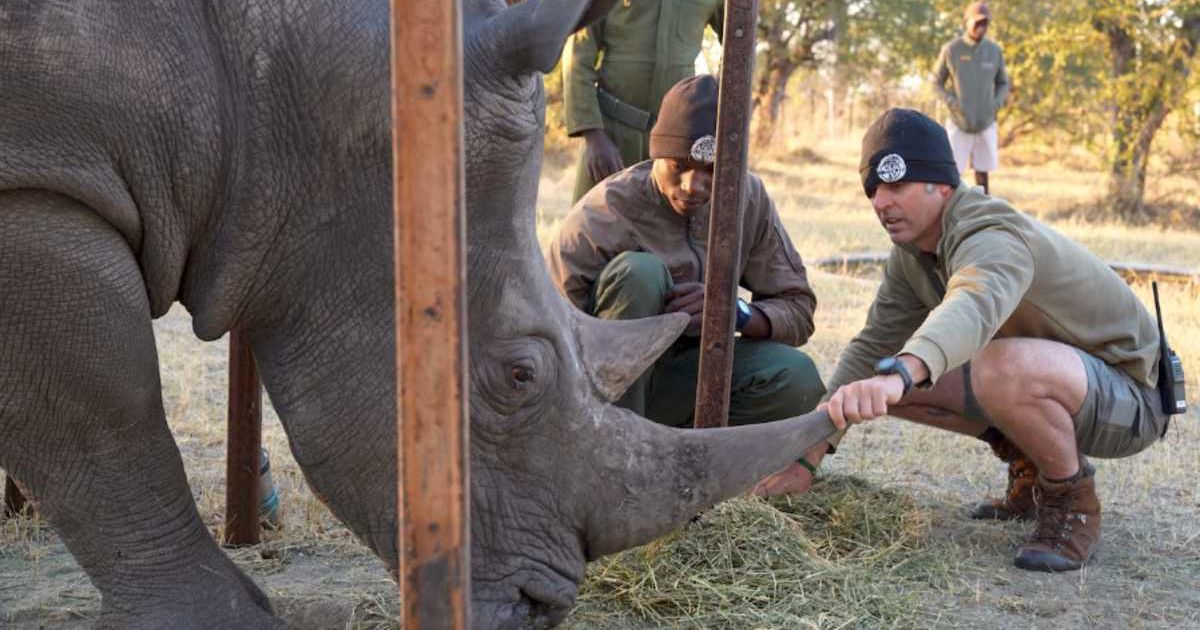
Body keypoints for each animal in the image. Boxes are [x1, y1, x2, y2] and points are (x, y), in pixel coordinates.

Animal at [0, 0, 835, 627]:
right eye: (519, 376)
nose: (541, 609)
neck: (275, 83)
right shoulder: (36, 184)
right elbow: (107, 419)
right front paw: (224, 622)